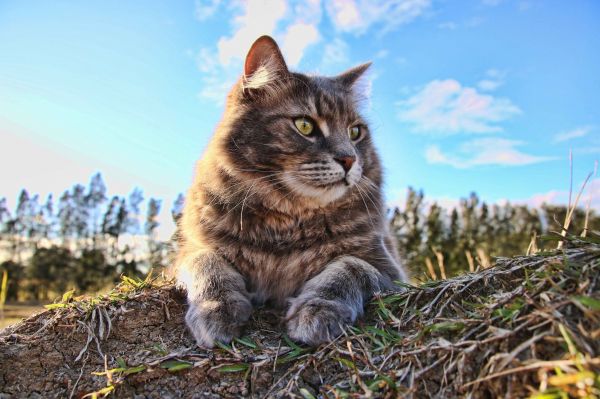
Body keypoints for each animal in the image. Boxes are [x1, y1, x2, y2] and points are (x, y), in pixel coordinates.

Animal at [173, 35, 408, 346]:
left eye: (355, 132)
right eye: (305, 125)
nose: (349, 159)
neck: (287, 221)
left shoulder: (389, 270)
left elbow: (350, 268)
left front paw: (317, 310)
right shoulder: (191, 251)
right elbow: (208, 264)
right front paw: (216, 309)